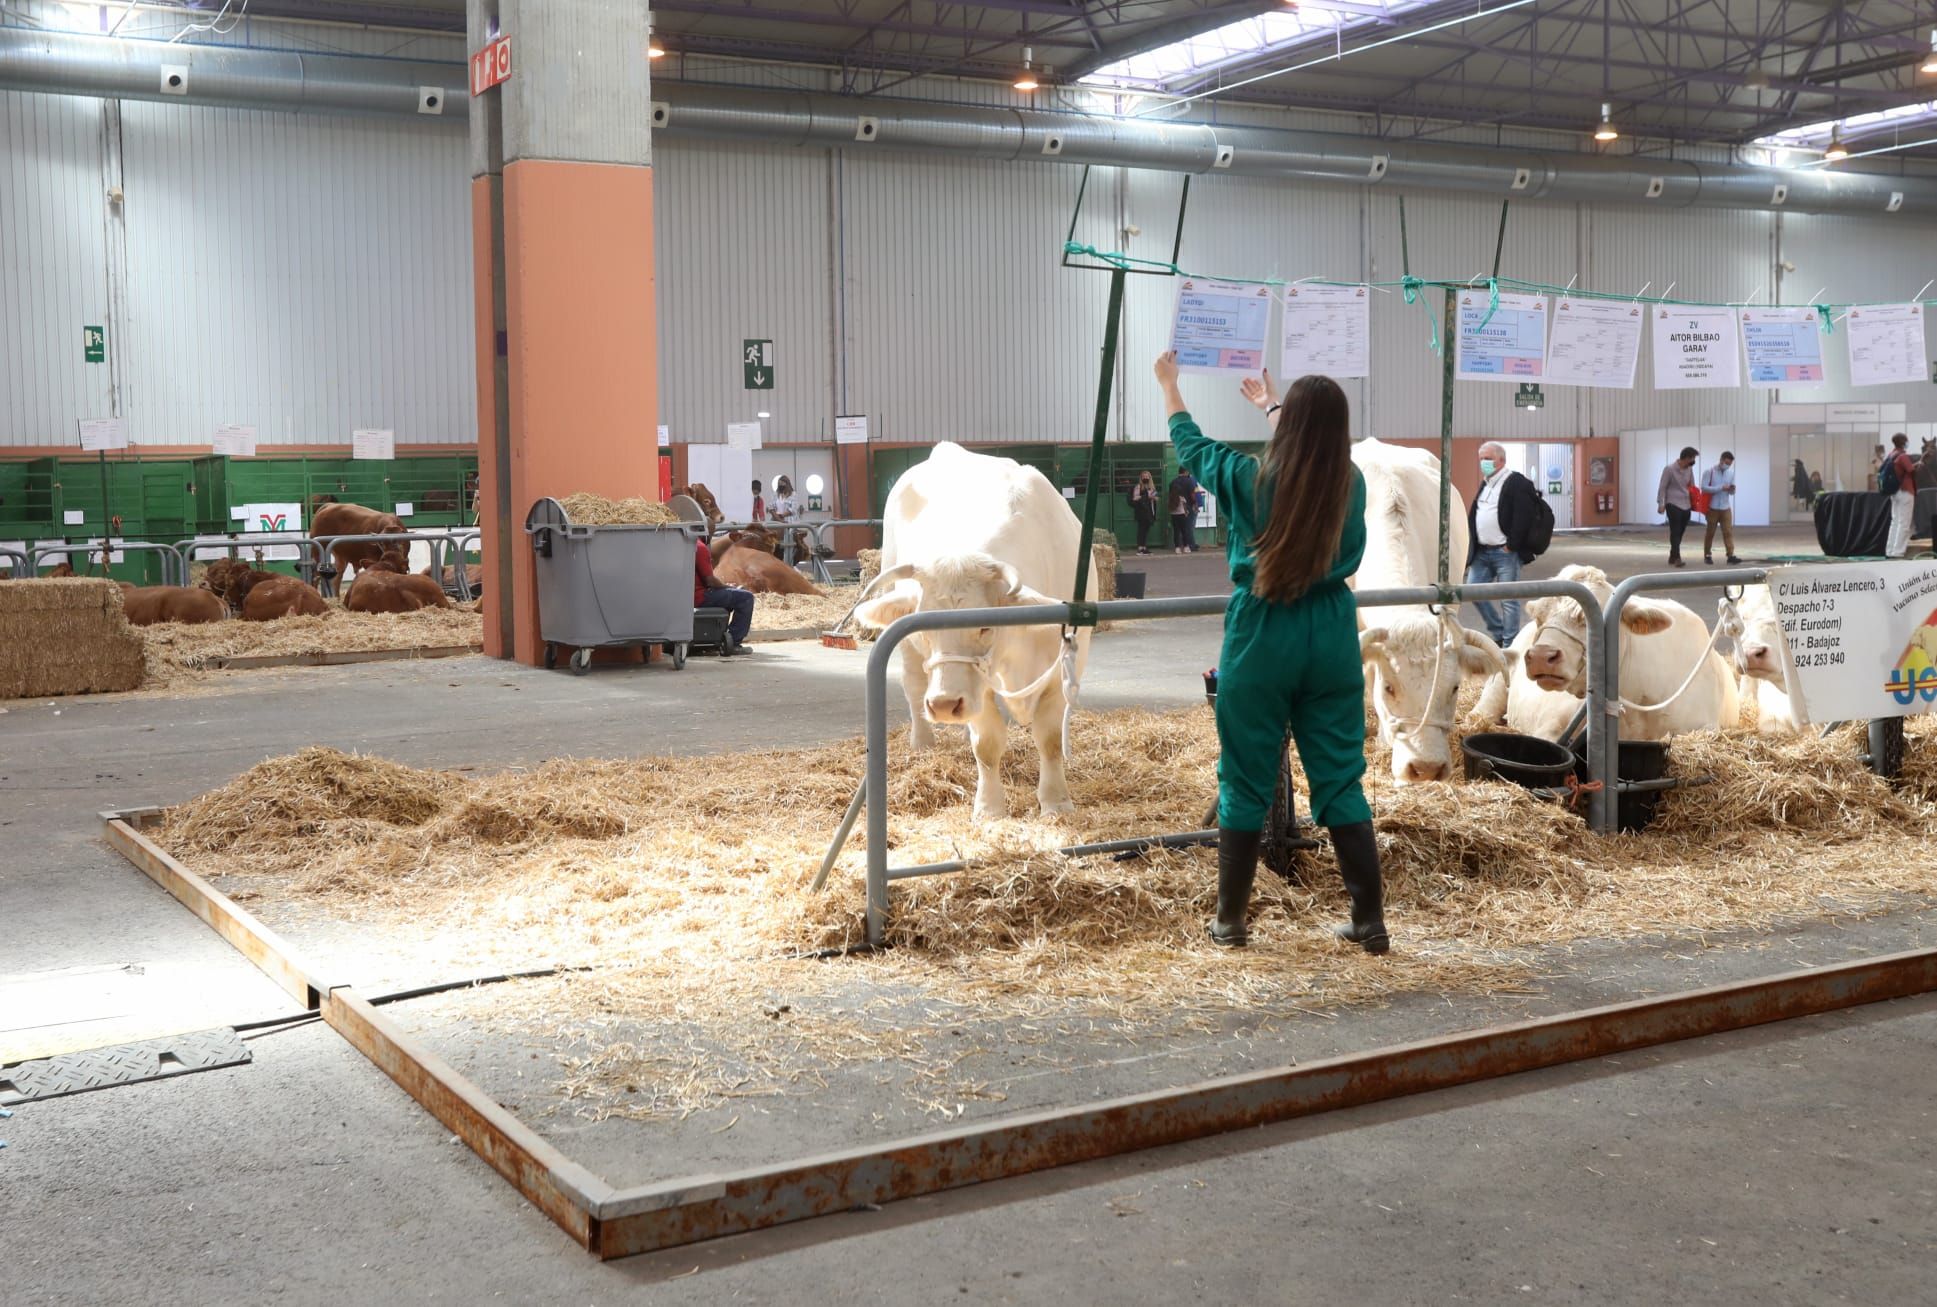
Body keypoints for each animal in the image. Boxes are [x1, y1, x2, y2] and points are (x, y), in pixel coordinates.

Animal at [852, 445, 1092, 824]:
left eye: (985, 626)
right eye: (924, 627)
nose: (944, 704)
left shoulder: (1064, 669)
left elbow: (1050, 740)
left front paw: (1056, 802)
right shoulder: (977, 687)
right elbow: (987, 745)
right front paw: (989, 808)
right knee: (913, 684)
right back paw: (923, 743)